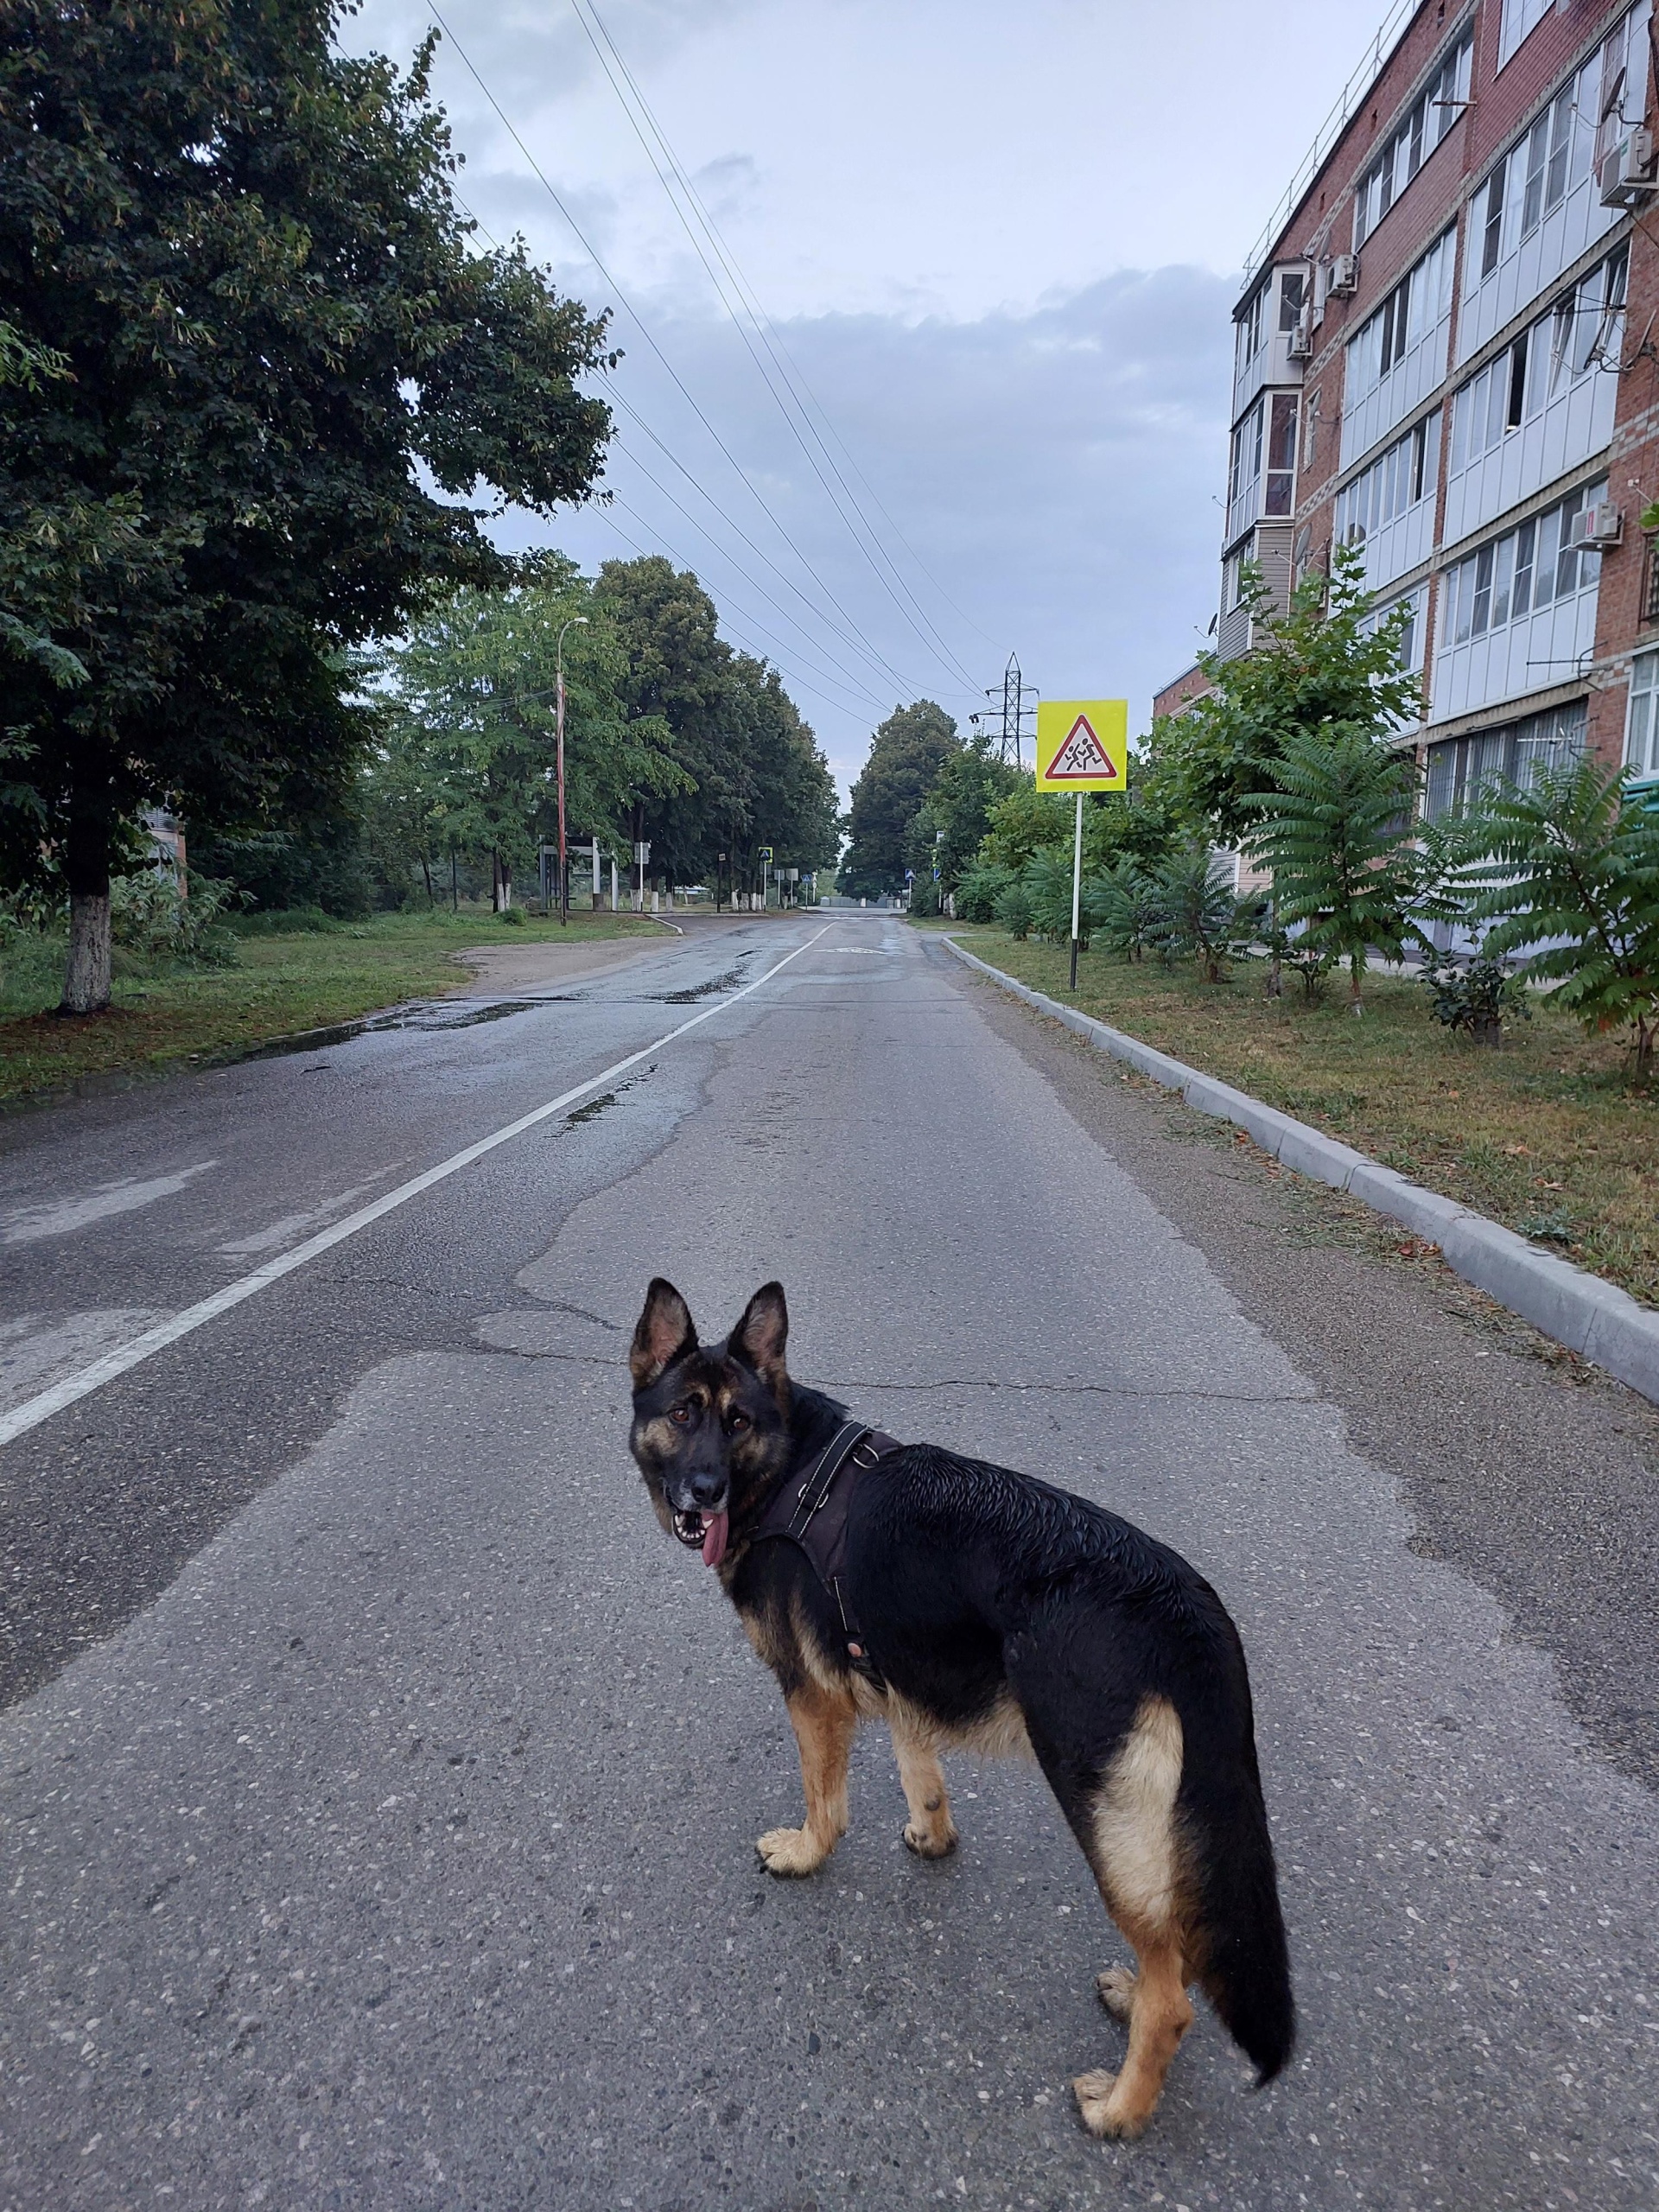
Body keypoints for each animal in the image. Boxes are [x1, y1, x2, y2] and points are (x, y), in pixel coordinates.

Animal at [628, 1282, 1292, 2141]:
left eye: (736, 1421)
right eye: (684, 1414)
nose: (703, 1492)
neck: (788, 1474)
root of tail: (1189, 1611)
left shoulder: (813, 1699)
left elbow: (825, 1799)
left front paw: (806, 1854)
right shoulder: (900, 1679)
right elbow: (924, 1775)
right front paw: (933, 1838)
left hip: (1103, 1812)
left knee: (1174, 2001)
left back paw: (1120, 2109)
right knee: (1170, 1955)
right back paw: (1128, 1998)